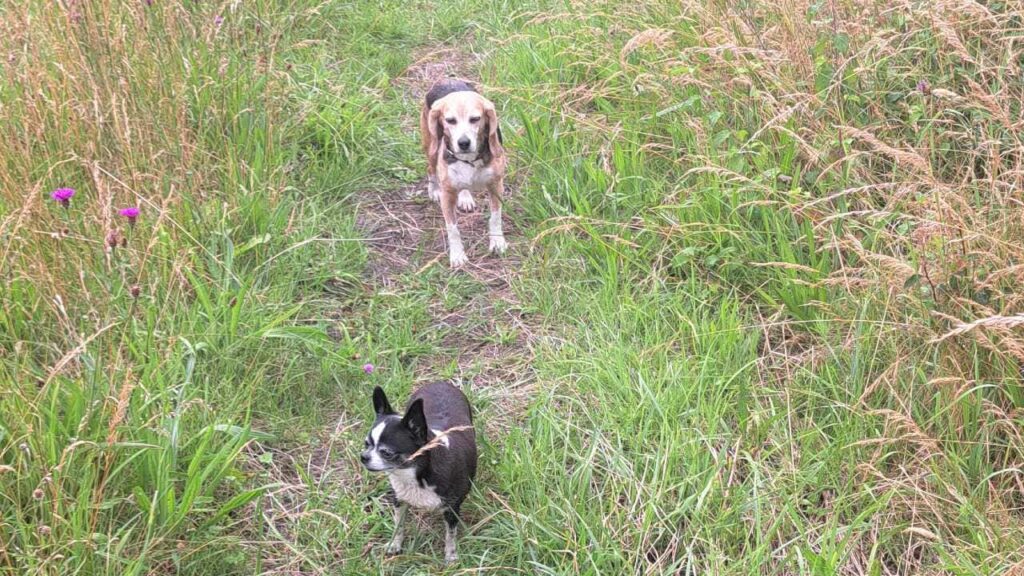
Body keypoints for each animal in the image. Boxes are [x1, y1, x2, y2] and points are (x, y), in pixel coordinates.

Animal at [362, 381, 477, 561]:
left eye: (386, 453)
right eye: (366, 444)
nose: (363, 457)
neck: (413, 474)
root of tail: (440, 382)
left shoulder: (452, 510)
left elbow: (450, 535)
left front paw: (451, 555)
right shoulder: (399, 501)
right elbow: (398, 525)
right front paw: (395, 545)